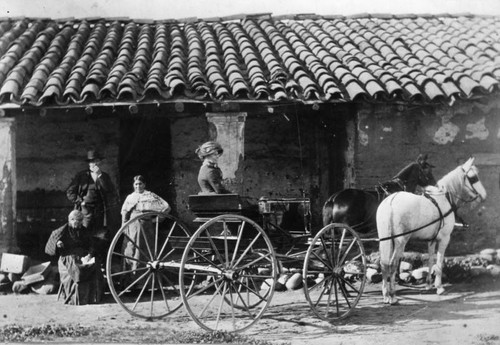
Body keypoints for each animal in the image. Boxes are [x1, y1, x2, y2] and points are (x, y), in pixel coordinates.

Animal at [376, 157, 486, 302]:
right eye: (473, 178)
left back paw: (385, 294)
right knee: (392, 264)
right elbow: (439, 262)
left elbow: (430, 259)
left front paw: (428, 284)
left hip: (387, 240)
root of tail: (391, 201)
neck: (444, 198)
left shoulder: (431, 240)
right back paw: (392, 295)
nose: (484, 196)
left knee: (384, 264)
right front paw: (439, 287)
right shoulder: (444, 239)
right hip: (400, 241)